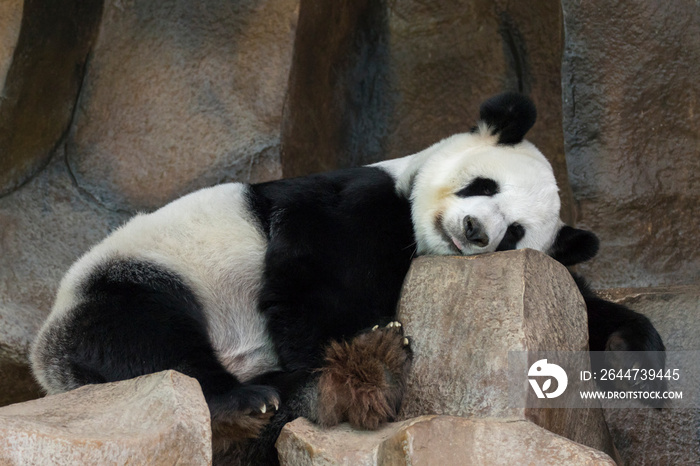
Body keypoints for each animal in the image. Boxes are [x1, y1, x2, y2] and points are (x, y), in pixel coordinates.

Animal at [31, 93, 660, 462]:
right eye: (484, 185)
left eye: (515, 233)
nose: (477, 231)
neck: (418, 229)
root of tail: (48, 366)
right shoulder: (353, 200)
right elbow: (314, 278)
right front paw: (359, 361)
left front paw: (636, 349)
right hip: (139, 274)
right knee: (146, 336)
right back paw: (246, 400)